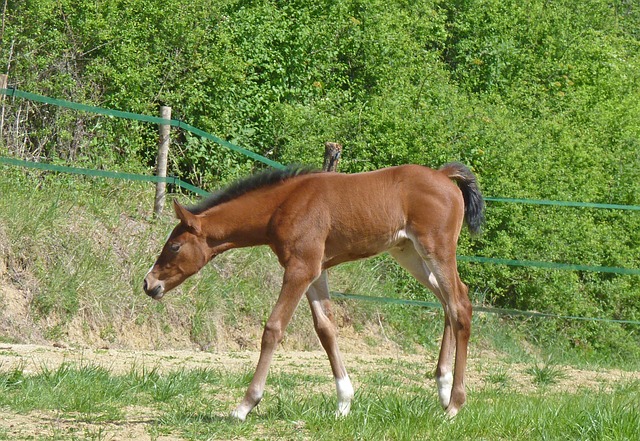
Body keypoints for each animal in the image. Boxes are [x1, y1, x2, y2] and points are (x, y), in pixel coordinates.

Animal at [144, 162, 484, 420]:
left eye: (174, 246)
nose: (149, 284)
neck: (283, 205)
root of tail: (443, 175)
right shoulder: (315, 271)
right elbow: (326, 329)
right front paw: (344, 402)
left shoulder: (301, 269)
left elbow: (273, 328)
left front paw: (244, 405)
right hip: (409, 253)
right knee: (448, 302)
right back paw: (442, 388)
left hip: (436, 249)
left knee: (460, 306)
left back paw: (454, 405)